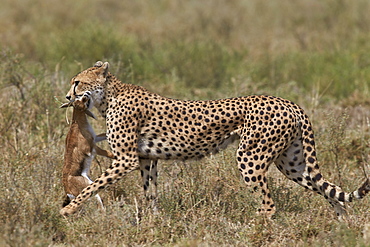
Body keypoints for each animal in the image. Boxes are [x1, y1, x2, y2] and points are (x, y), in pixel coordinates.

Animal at [59, 60, 368, 219]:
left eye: (77, 82)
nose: (66, 96)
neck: (109, 96)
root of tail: (289, 103)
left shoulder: (127, 159)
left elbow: (92, 186)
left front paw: (69, 209)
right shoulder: (146, 159)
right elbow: (150, 193)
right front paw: (153, 220)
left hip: (250, 157)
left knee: (269, 205)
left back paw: (253, 230)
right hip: (292, 164)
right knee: (333, 193)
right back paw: (343, 227)